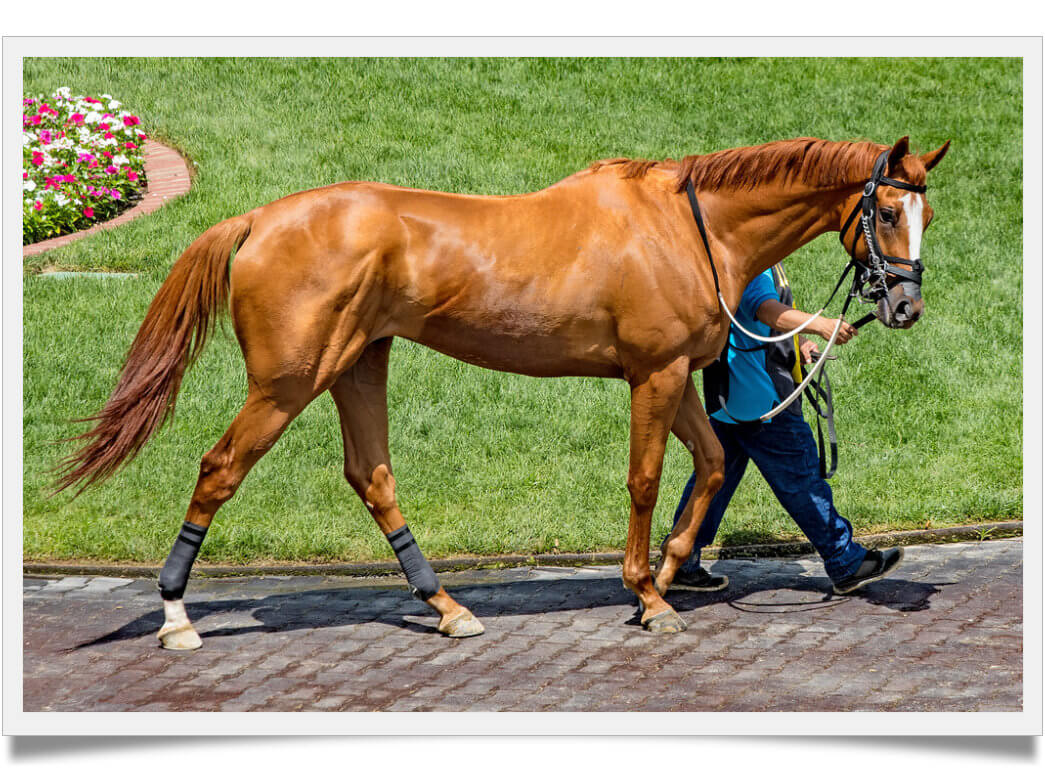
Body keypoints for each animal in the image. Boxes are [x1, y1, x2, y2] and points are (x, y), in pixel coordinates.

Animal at [58, 135, 949, 649]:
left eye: (925, 214)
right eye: (887, 211)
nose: (904, 306)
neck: (686, 227)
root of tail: (257, 218)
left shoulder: (680, 379)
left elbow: (711, 464)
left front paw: (667, 574)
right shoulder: (654, 373)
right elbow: (646, 478)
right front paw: (648, 593)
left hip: (358, 363)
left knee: (371, 475)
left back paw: (447, 605)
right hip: (288, 381)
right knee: (220, 468)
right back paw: (176, 616)